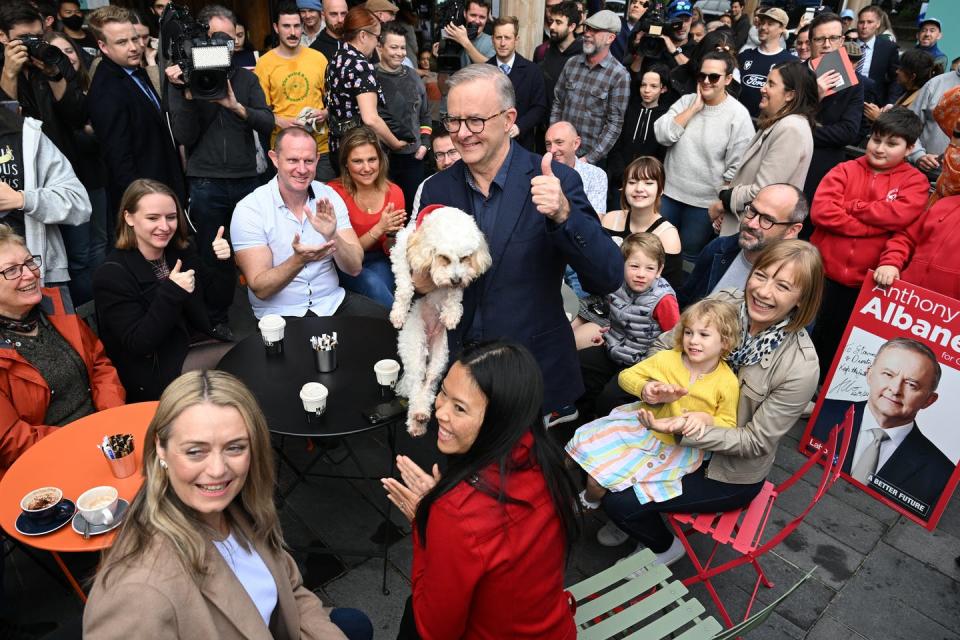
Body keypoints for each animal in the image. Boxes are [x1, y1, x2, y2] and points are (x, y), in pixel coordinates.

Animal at [392, 205, 496, 436]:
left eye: (465, 257)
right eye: (444, 258)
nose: (456, 279)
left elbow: (455, 295)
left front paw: (451, 313)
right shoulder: (402, 250)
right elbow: (405, 286)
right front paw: (399, 312)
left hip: (441, 355)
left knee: (429, 384)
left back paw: (420, 416)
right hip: (414, 347)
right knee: (415, 383)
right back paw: (415, 419)